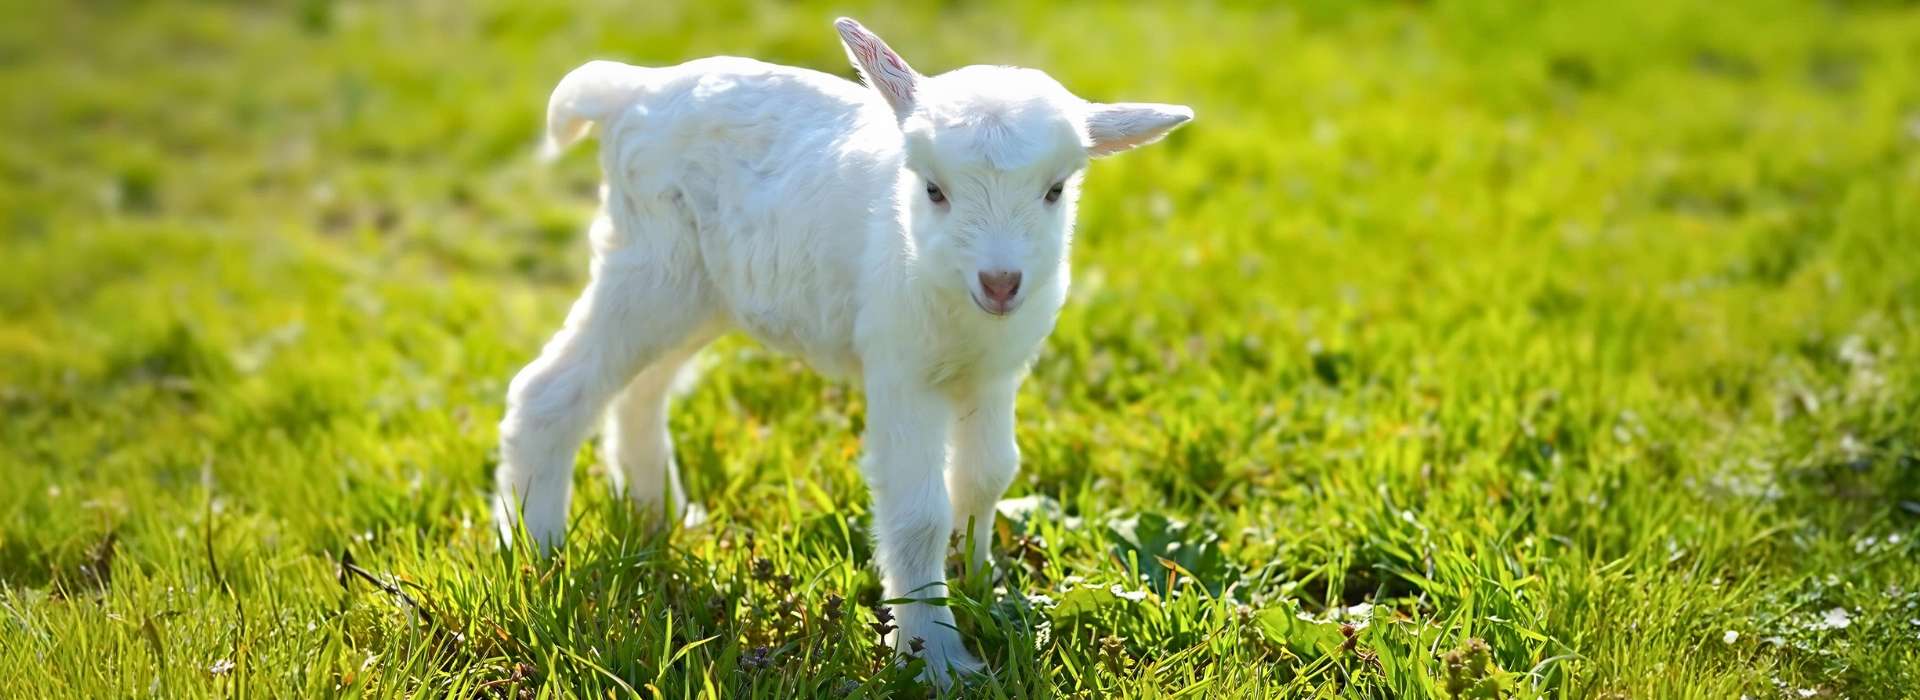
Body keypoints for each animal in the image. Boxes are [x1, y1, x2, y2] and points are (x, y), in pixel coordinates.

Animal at [495, 17, 1191, 684]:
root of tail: (629, 90)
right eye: (933, 190)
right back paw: (536, 553)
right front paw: (937, 657)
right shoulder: (900, 370)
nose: (1000, 283)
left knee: (641, 390)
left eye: (1055, 190)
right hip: (649, 264)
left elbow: (987, 475)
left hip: (697, 293)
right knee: (549, 390)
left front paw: (979, 584)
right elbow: (917, 513)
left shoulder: (996, 374)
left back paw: (657, 519)